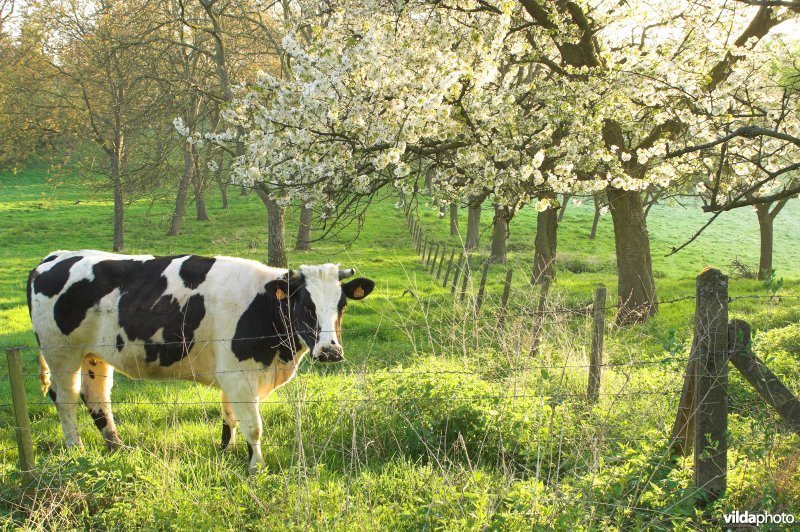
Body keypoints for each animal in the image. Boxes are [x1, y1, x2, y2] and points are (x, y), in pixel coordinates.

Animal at [26, 250, 374, 474]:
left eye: (342, 305)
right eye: (304, 304)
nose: (330, 351)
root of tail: (53, 258)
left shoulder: (233, 374)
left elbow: (230, 418)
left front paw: (225, 453)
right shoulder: (239, 375)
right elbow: (253, 426)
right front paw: (256, 468)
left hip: (95, 356)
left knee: (96, 397)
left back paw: (116, 447)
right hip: (61, 352)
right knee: (66, 399)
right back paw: (76, 449)